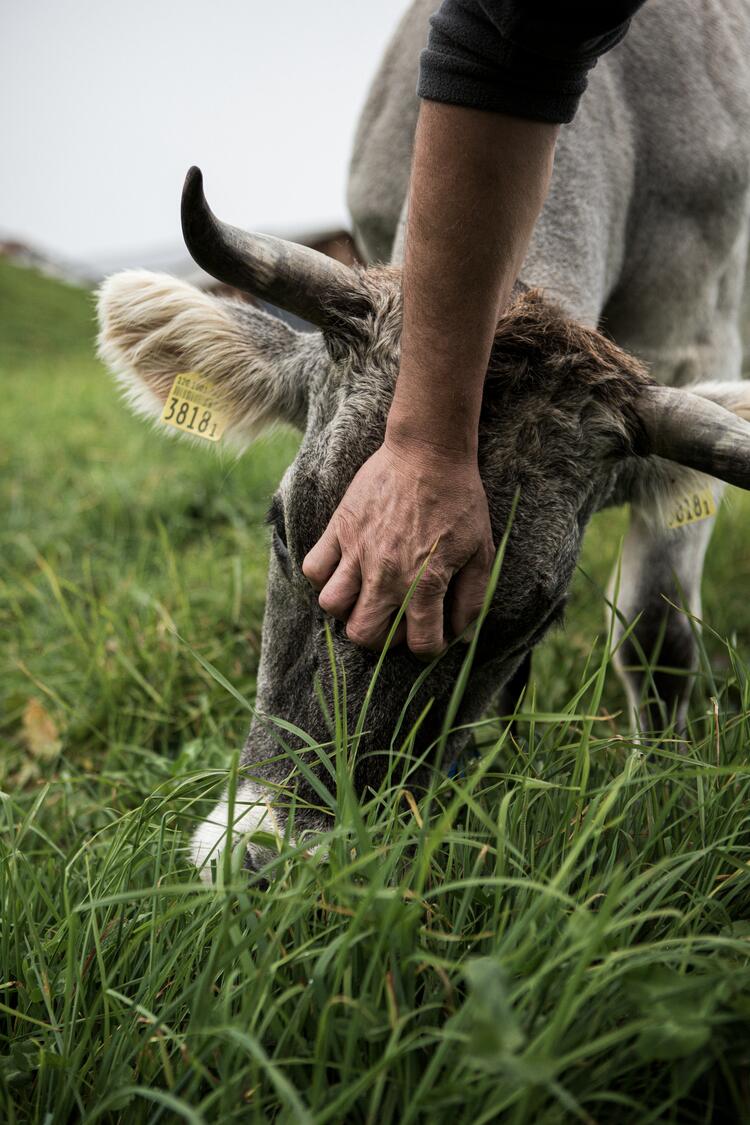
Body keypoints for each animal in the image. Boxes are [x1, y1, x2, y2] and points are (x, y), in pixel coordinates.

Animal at [98, 0, 750, 877]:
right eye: (283, 526)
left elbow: (655, 637)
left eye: (528, 619)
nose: (273, 864)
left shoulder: (702, 340)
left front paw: (661, 792)